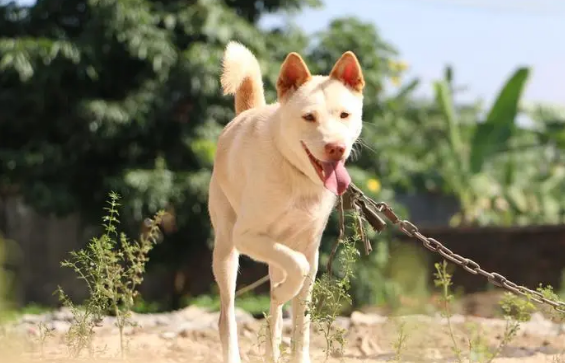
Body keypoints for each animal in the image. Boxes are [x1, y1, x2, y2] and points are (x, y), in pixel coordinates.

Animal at [208, 40, 366, 363]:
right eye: (309, 117)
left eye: (344, 115)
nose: (336, 148)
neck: (297, 175)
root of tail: (247, 113)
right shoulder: (248, 236)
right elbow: (298, 268)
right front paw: (282, 292)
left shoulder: (310, 248)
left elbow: (301, 318)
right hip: (227, 250)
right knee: (227, 317)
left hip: (271, 253)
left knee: (275, 318)